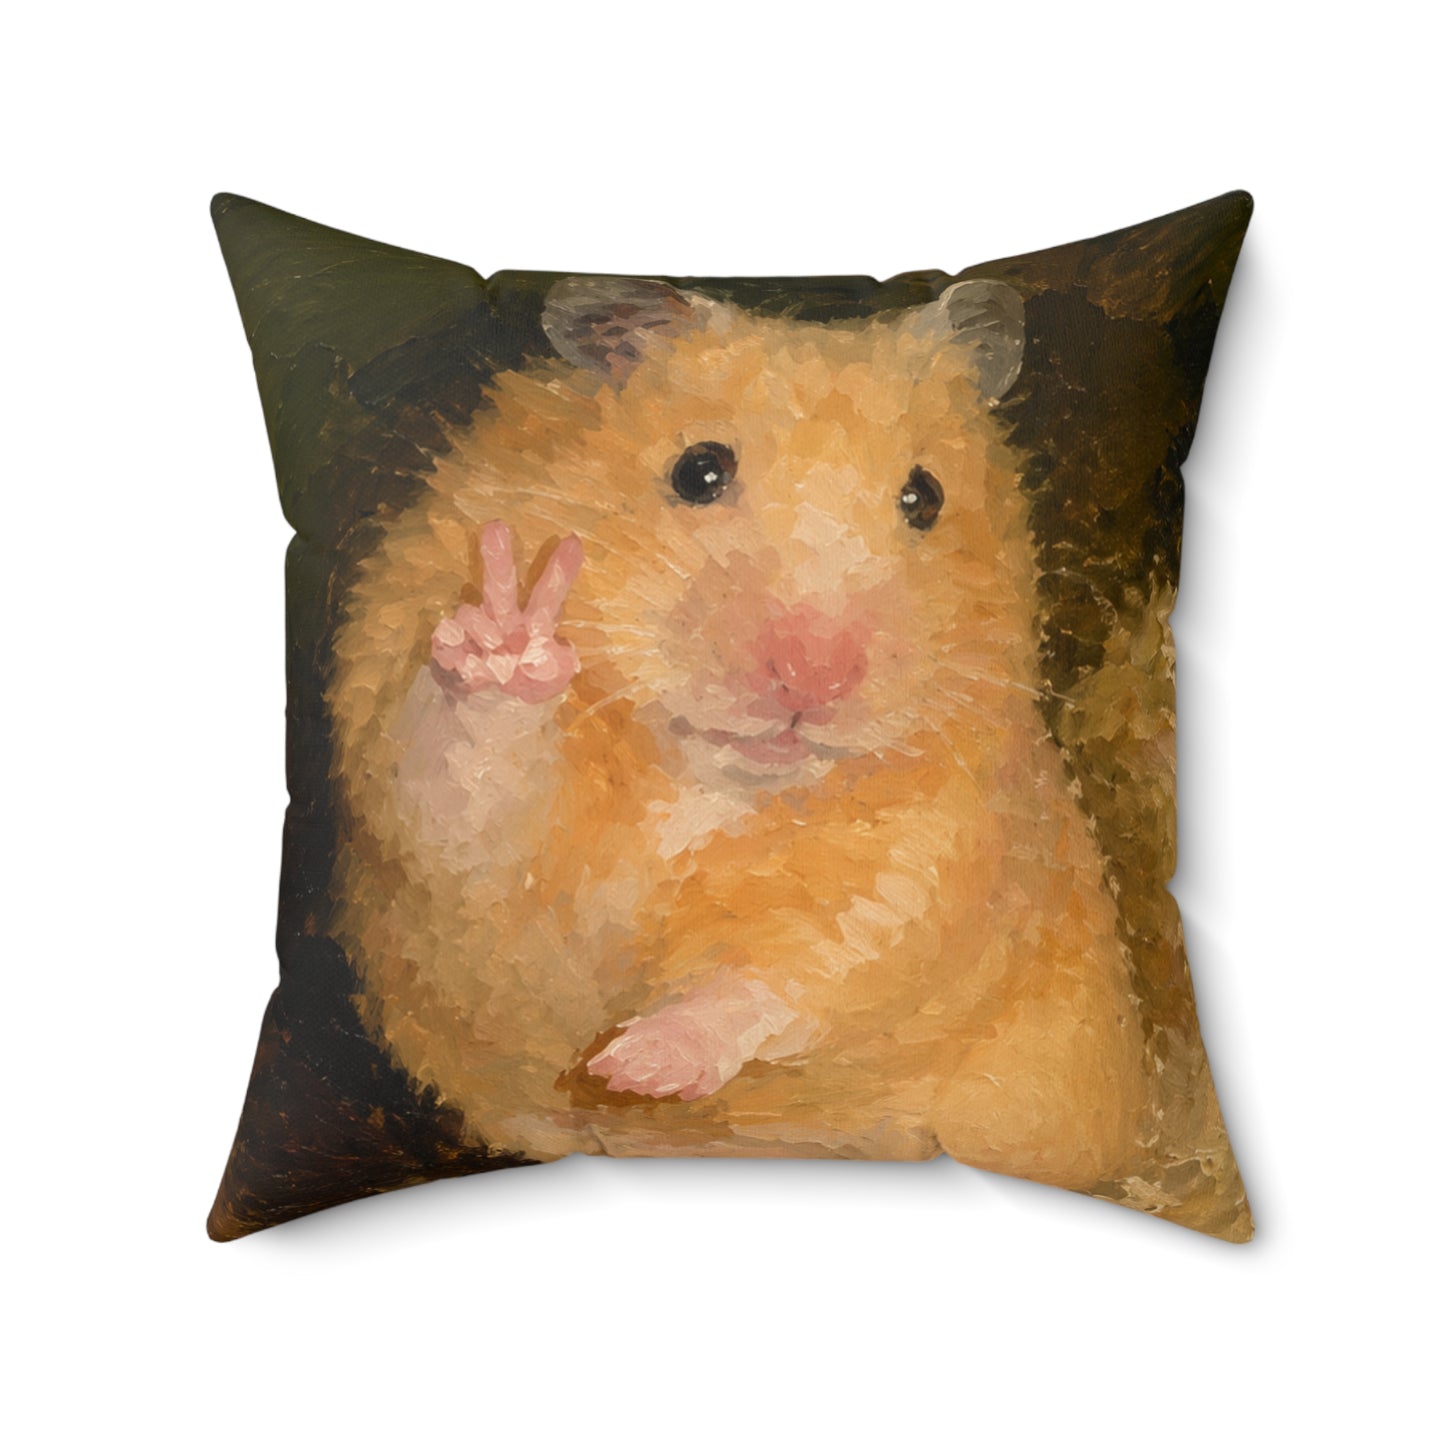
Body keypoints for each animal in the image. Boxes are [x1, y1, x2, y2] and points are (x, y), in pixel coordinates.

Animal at [327, 274, 1155, 1190]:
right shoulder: (437, 818)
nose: (814, 678)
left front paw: (633, 1068)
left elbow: (800, 963)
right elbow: (462, 796)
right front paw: (509, 636)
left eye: (925, 497)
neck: (710, 774)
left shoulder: (935, 853)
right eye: (698, 470)